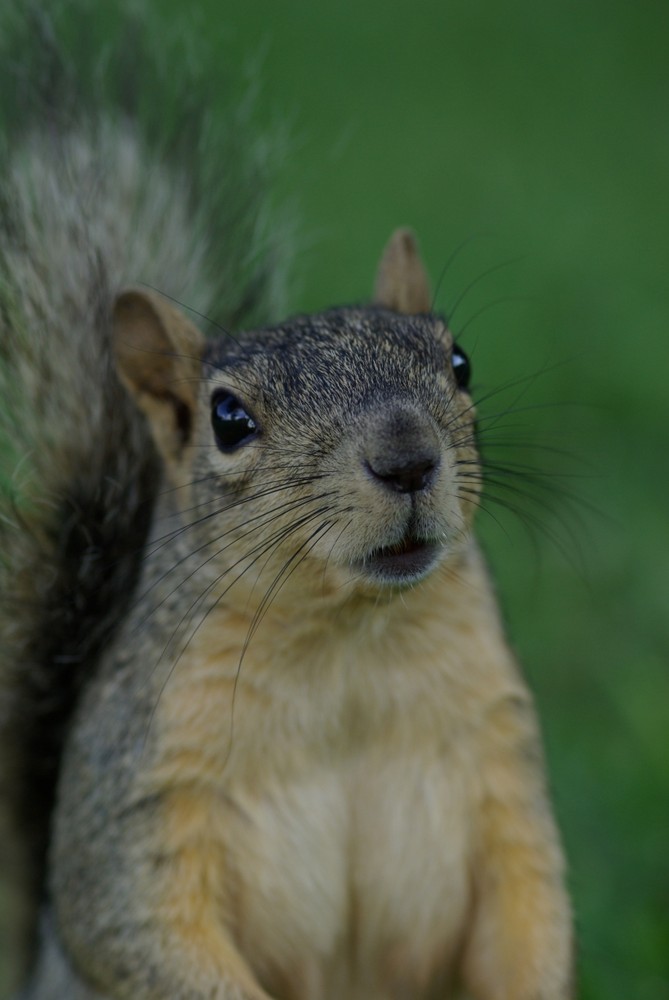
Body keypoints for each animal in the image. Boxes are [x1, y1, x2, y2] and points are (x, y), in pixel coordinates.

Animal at [1, 1, 576, 1000]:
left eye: (459, 361)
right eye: (228, 419)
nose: (406, 459)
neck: (348, 646)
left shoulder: (499, 762)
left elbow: (528, 900)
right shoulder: (140, 787)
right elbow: (129, 921)